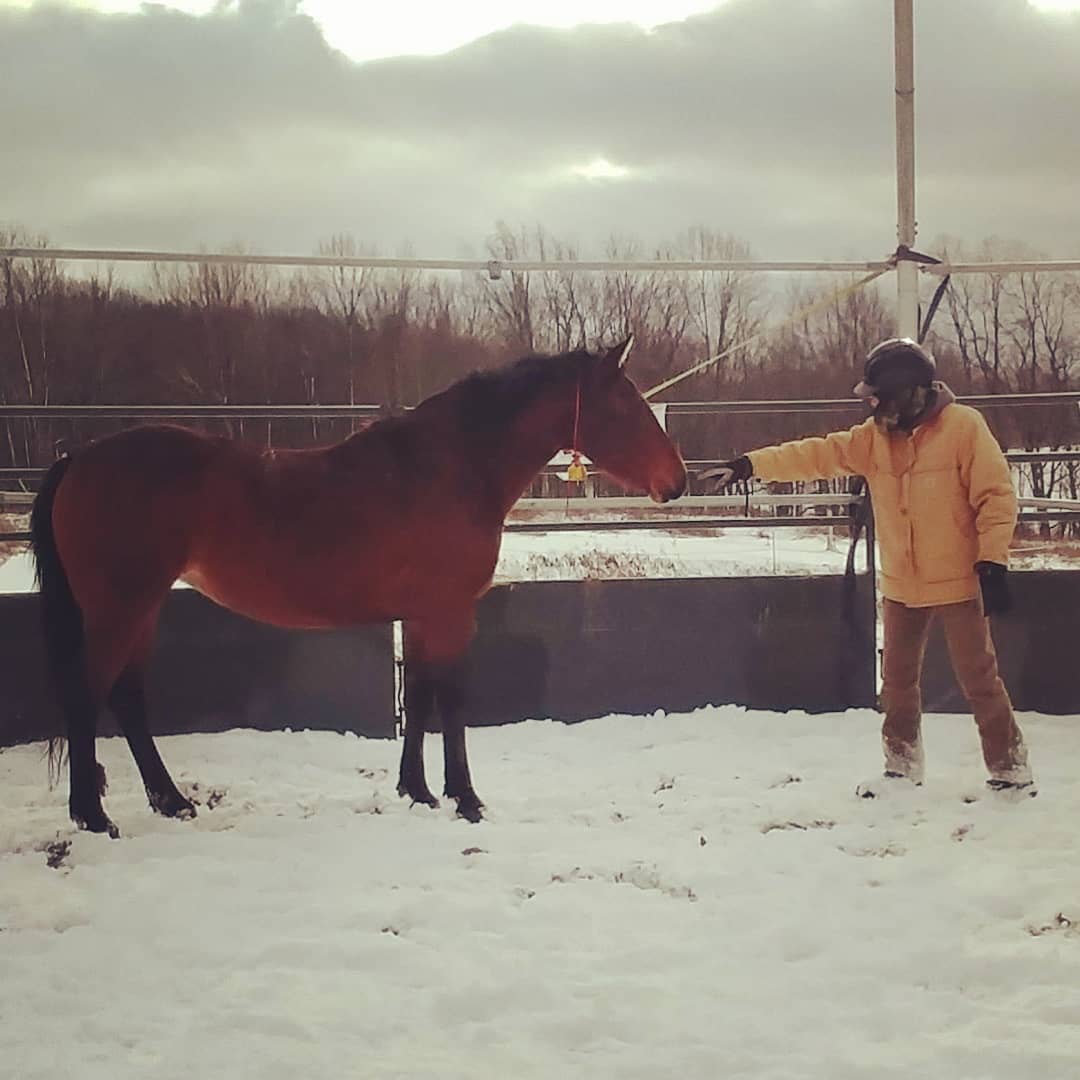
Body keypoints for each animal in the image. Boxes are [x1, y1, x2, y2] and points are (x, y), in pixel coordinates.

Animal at [29, 338, 686, 835]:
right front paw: (466, 799)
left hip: (141, 607)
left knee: (126, 697)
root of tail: (81, 457)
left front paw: (417, 791)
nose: (676, 481)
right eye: (625, 406)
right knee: (88, 694)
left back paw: (171, 801)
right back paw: (93, 817)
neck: (448, 468)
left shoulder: (420, 615)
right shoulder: (450, 613)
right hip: (120, 608)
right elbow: (450, 700)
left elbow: (418, 696)